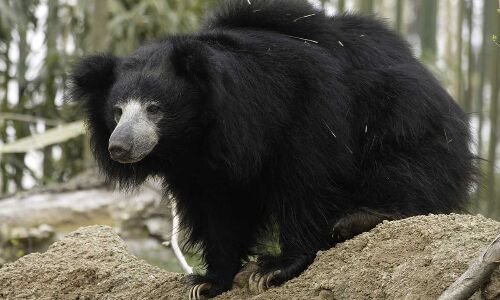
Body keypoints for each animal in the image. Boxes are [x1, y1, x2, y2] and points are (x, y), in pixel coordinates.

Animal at [68, 0, 474, 298]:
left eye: (155, 108)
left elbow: (306, 180)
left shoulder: (305, 108)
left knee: (407, 169)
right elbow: (217, 212)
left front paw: (274, 270)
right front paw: (207, 281)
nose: (119, 147)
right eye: (117, 111)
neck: (202, 135)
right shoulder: (203, 167)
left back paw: (363, 217)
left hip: (402, 116)